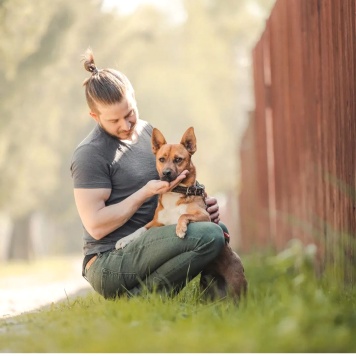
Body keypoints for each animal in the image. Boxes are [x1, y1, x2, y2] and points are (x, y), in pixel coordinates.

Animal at [117, 127, 248, 300]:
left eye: (178, 159)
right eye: (161, 159)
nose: (166, 173)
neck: (176, 192)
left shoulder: (205, 215)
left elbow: (183, 215)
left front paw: (180, 229)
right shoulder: (156, 223)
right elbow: (139, 229)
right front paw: (124, 240)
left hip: (235, 285)